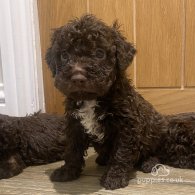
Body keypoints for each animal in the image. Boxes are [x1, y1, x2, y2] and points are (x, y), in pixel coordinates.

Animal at [46, 14, 195, 190]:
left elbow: (120, 154)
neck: (92, 98)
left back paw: (148, 163)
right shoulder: (74, 124)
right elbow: (72, 150)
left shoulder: (126, 127)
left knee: (154, 152)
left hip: (155, 133)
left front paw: (114, 178)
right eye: (64, 55)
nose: (77, 77)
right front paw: (67, 171)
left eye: (99, 54)